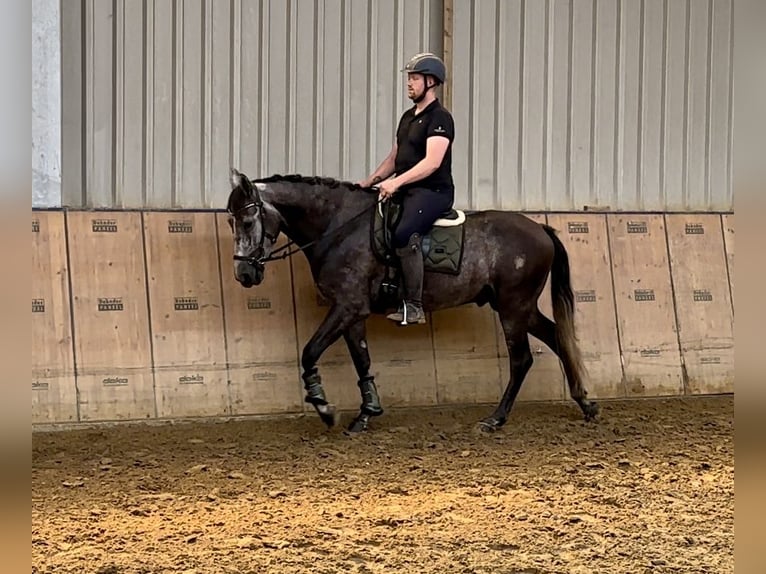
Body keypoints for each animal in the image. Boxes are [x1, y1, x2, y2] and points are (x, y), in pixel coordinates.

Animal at [224, 169, 600, 434]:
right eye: (230, 220)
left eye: (247, 220)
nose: (243, 274)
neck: (339, 226)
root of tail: (540, 228)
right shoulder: (353, 312)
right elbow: (361, 358)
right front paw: (367, 413)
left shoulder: (347, 306)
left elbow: (310, 351)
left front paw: (324, 408)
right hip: (519, 308)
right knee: (556, 338)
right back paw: (585, 403)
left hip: (513, 307)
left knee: (522, 359)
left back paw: (495, 419)